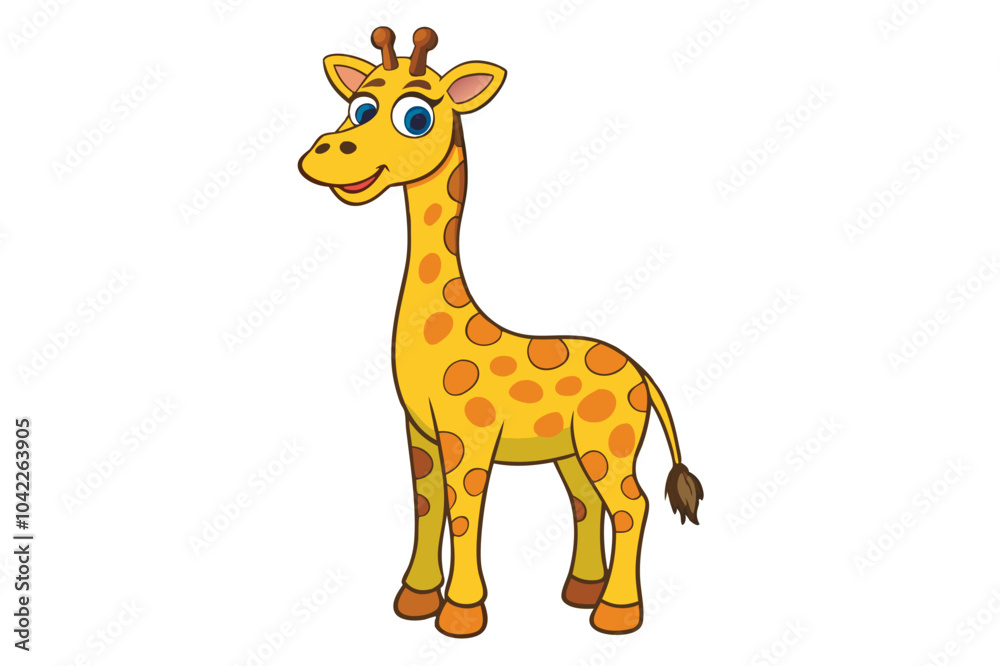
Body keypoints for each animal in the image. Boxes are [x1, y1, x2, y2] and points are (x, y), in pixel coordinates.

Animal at [298, 27, 703, 637]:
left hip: (609, 442)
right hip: (571, 450)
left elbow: (465, 513)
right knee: (587, 503)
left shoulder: (470, 434)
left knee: (631, 505)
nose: (322, 154)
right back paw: (580, 592)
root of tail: (643, 375)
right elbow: (427, 507)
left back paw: (615, 613)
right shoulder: (420, 431)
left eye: (416, 116)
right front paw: (414, 600)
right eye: (359, 107)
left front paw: (461, 614)